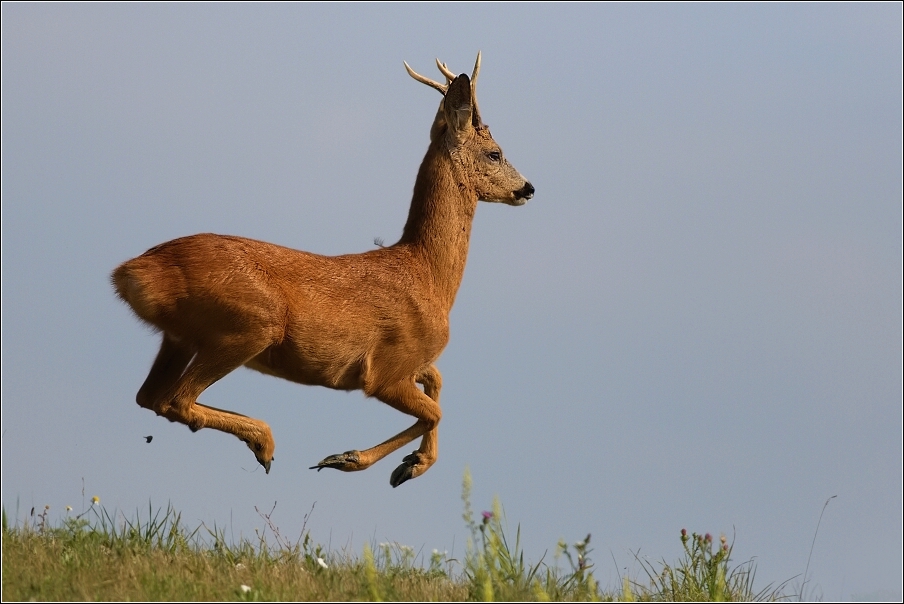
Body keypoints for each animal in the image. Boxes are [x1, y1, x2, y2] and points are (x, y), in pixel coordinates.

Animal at [114, 52, 536, 486]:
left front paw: (412, 463)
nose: (528, 188)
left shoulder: (411, 363)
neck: (428, 276)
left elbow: (436, 381)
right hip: (247, 325)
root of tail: (131, 273)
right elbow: (434, 410)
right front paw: (351, 459)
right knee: (177, 399)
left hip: (181, 337)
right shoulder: (385, 370)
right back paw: (264, 443)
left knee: (150, 397)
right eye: (495, 153)